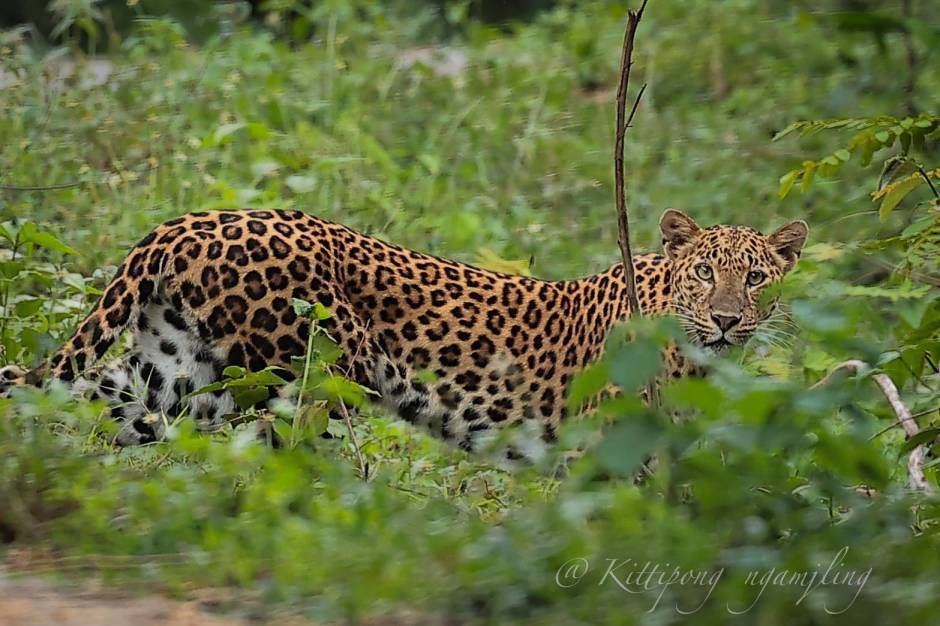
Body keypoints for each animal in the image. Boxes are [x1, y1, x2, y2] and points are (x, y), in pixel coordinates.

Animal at [0, 208, 807, 450]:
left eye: (755, 278)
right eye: (705, 274)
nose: (727, 319)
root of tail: (186, 222)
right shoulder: (607, 443)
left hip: (172, 377)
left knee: (78, 403)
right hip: (304, 377)